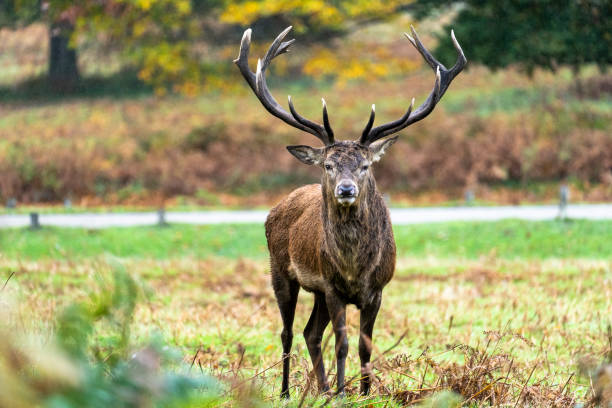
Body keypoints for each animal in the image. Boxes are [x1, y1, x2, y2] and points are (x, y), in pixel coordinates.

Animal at [233, 23, 464, 396]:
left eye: (365, 165)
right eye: (328, 165)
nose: (346, 190)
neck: (355, 268)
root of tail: (276, 207)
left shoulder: (377, 289)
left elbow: (364, 344)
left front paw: (365, 392)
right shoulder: (332, 286)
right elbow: (341, 343)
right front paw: (344, 392)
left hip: (315, 291)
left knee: (311, 332)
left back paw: (323, 388)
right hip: (280, 270)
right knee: (287, 332)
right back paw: (288, 391)